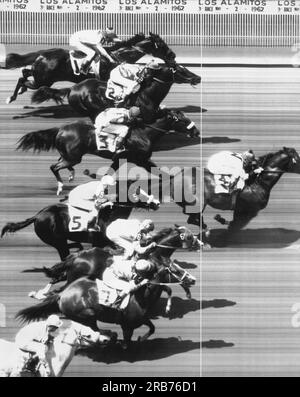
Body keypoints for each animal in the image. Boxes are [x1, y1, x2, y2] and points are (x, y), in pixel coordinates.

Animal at [1, 181, 161, 258]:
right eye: (137, 193)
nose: (157, 203)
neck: (111, 214)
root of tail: (37, 216)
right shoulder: (102, 240)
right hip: (56, 240)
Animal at [2, 32, 176, 103]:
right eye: (161, 45)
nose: (173, 55)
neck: (118, 56)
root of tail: (42, 54)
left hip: (40, 76)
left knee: (24, 73)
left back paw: (18, 92)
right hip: (43, 80)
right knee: (23, 78)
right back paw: (11, 97)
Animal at [15, 108, 199, 195]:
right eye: (182, 120)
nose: (196, 132)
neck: (144, 133)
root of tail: (60, 129)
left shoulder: (136, 160)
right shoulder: (135, 159)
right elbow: (163, 174)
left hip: (70, 156)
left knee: (61, 164)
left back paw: (71, 175)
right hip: (74, 157)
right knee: (54, 167)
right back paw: (61, 186)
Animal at [16, 258, 196, 348]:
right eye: (176, 270)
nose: (193, 279)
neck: (143, 296)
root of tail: (63, 295)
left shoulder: (142, 319)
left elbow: (152, 328)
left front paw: (142, 338)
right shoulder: (127, 325)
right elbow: (127, 342)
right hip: (86, 314)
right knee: (94, 329)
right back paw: (108, 336)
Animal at [21, 224, 199, 302]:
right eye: (191, 237)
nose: (201, 244)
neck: (156, 252)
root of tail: (78, 255)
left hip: (70, 274)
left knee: (55, 279)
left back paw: (39, 293)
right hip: (75, 277)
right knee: (59, 288)